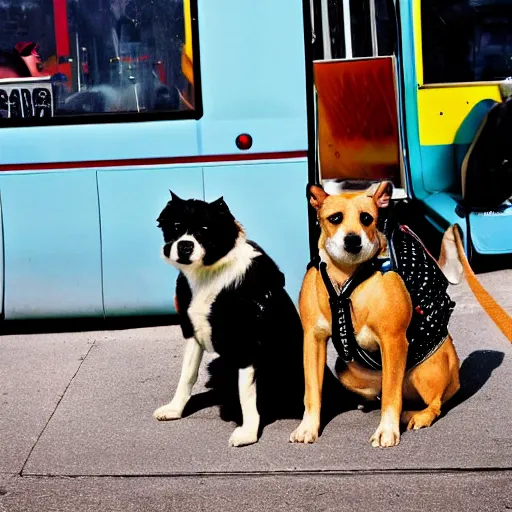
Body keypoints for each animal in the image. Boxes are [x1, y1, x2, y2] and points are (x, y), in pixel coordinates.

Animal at [152, 190, 304, 446]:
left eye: (205, 228)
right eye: (176, 226)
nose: (185, 246)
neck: (209, 273)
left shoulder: (247, 344)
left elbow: (247, 392)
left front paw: (248, 432)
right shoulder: (192, 332)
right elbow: (187, 375)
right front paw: (175, 408)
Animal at [290, 180, 462, 448]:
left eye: (367, 218)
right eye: (335, 218)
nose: (352, 240)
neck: (346, 275)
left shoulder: (392, 340)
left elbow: (392, 397)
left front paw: (387, 431)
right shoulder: (313, 339)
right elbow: (312, 391)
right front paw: (308, 427)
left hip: (427, 372)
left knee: (432, 403)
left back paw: (418, 416)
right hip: (345, 370)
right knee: (383, 393)